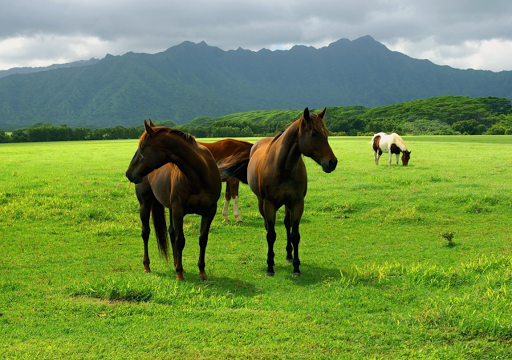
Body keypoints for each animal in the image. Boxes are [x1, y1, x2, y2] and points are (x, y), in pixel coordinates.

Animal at [125, 121, 221, 282]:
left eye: (142, 148)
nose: (128, 173)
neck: (200, 175)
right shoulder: (178, 210)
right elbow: (180, 240)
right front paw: (179, 275)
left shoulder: (209, 211)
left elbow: (202, 239)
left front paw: (201, 272)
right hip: (145, 205)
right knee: (146, 233)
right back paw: (147, 266)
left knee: (171, 232)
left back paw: (177, 264)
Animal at [220, 108, 336, 278]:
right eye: (314, 134)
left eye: (326, 133)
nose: (332, 162)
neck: (283, 167)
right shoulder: (269, 204)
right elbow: (271, 234)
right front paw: (270, 266)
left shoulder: (297, 203)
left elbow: (295, 235)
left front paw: (296, 267)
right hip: (262, 203)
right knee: (268, 227)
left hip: (287, 204)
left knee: (287, 224)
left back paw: (288, 255)